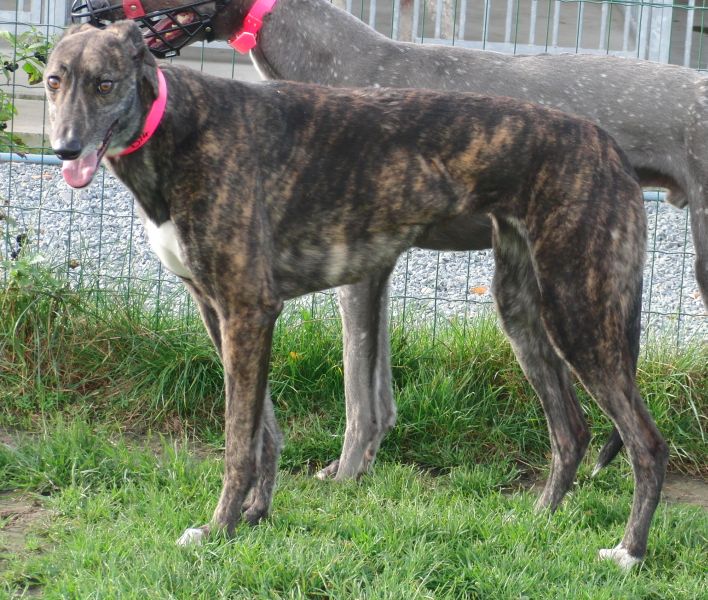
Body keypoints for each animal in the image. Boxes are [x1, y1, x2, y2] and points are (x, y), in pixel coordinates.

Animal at [46, 20, 666, 568]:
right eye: (54, 80)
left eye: (105, 83)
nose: (64, 149)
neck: (181, 126)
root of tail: (609, 147)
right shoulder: (217, 310)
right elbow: (264, 430)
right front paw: (254, 517)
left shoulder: (248, 309)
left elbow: (238, 440)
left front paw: (219, 528)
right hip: (523, 310)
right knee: (572, 429)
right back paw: (538, 520)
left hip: (580, 312)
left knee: (646, 442)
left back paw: (629, 552)